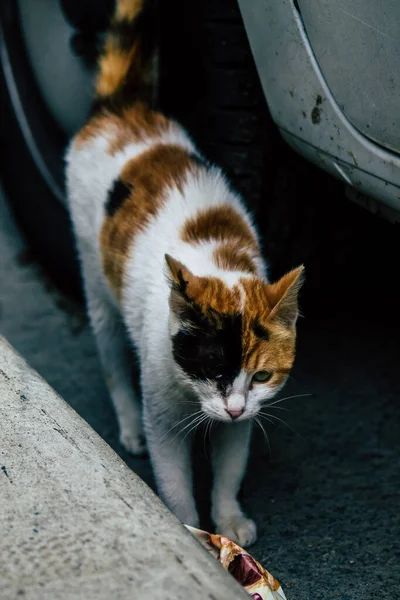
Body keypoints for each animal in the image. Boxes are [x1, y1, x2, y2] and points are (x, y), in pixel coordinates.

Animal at [65, 0, 304, 548]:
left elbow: (230, 467)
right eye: (213, 369)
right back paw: (127, 425)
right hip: (95, 281)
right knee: (112, 358)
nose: (233, 406)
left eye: (262, 375)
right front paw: (190, 529)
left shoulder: (243, 421)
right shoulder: (164, 414)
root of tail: (122, 110)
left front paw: (228, 519)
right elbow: (172, 479)